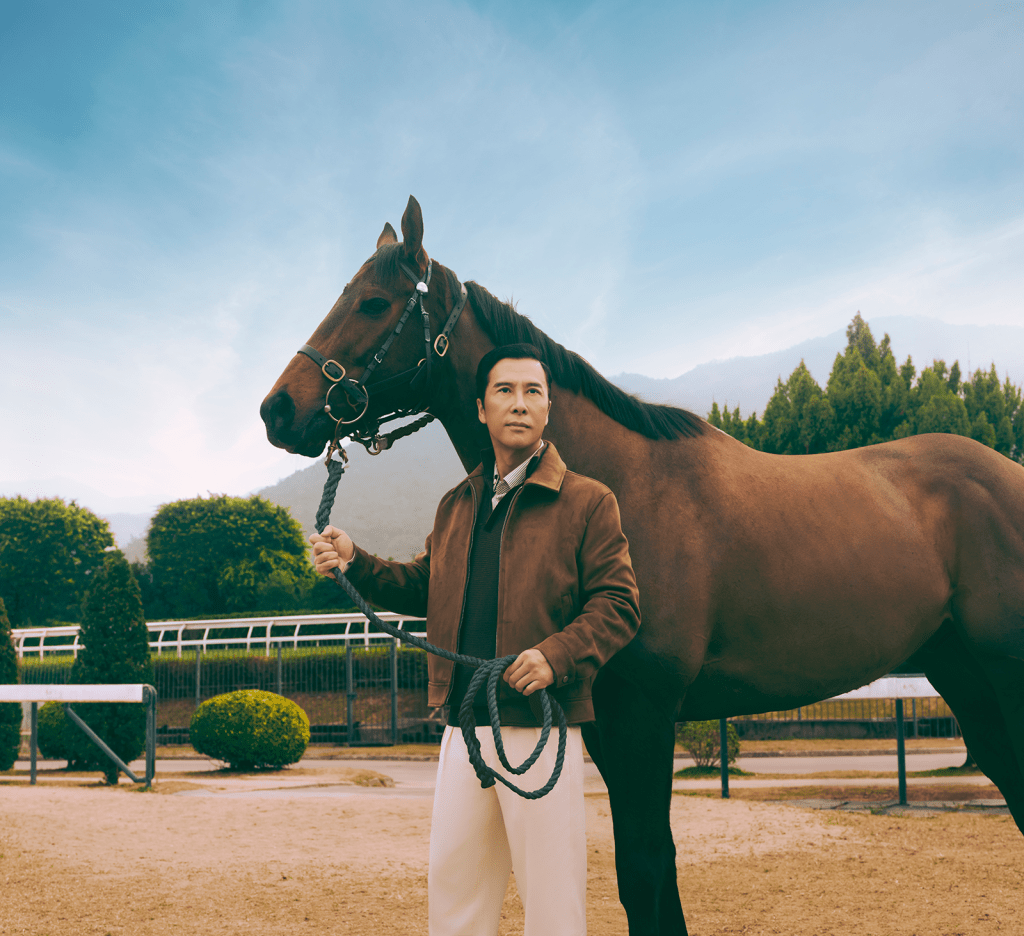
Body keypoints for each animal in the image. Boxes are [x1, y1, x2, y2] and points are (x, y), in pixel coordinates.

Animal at [261, 196, 1024, 935]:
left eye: (372, 303)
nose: (277, 410)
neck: (623, 484)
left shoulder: (644, 716)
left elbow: (648, 868)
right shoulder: (603, 723)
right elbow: (646, 880)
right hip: (963, 674)